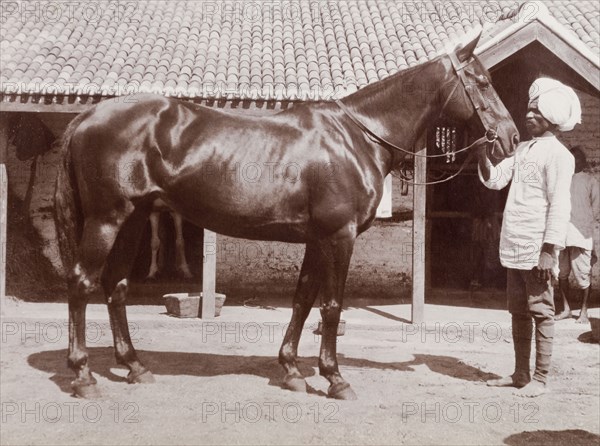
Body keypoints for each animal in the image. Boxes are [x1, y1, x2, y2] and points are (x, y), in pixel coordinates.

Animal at [54, 32, 516, 400]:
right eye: (481, 82)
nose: (511, 138)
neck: (355, 138)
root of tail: (89, 116)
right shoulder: (339, 236)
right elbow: (331, 306)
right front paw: (336, 379)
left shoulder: (316, 239)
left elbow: (302, 300)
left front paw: (293, 370)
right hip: (106, 221)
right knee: (81, 284)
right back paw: (83, 375)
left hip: (132, 220)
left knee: (115, 287)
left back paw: (135, 366)